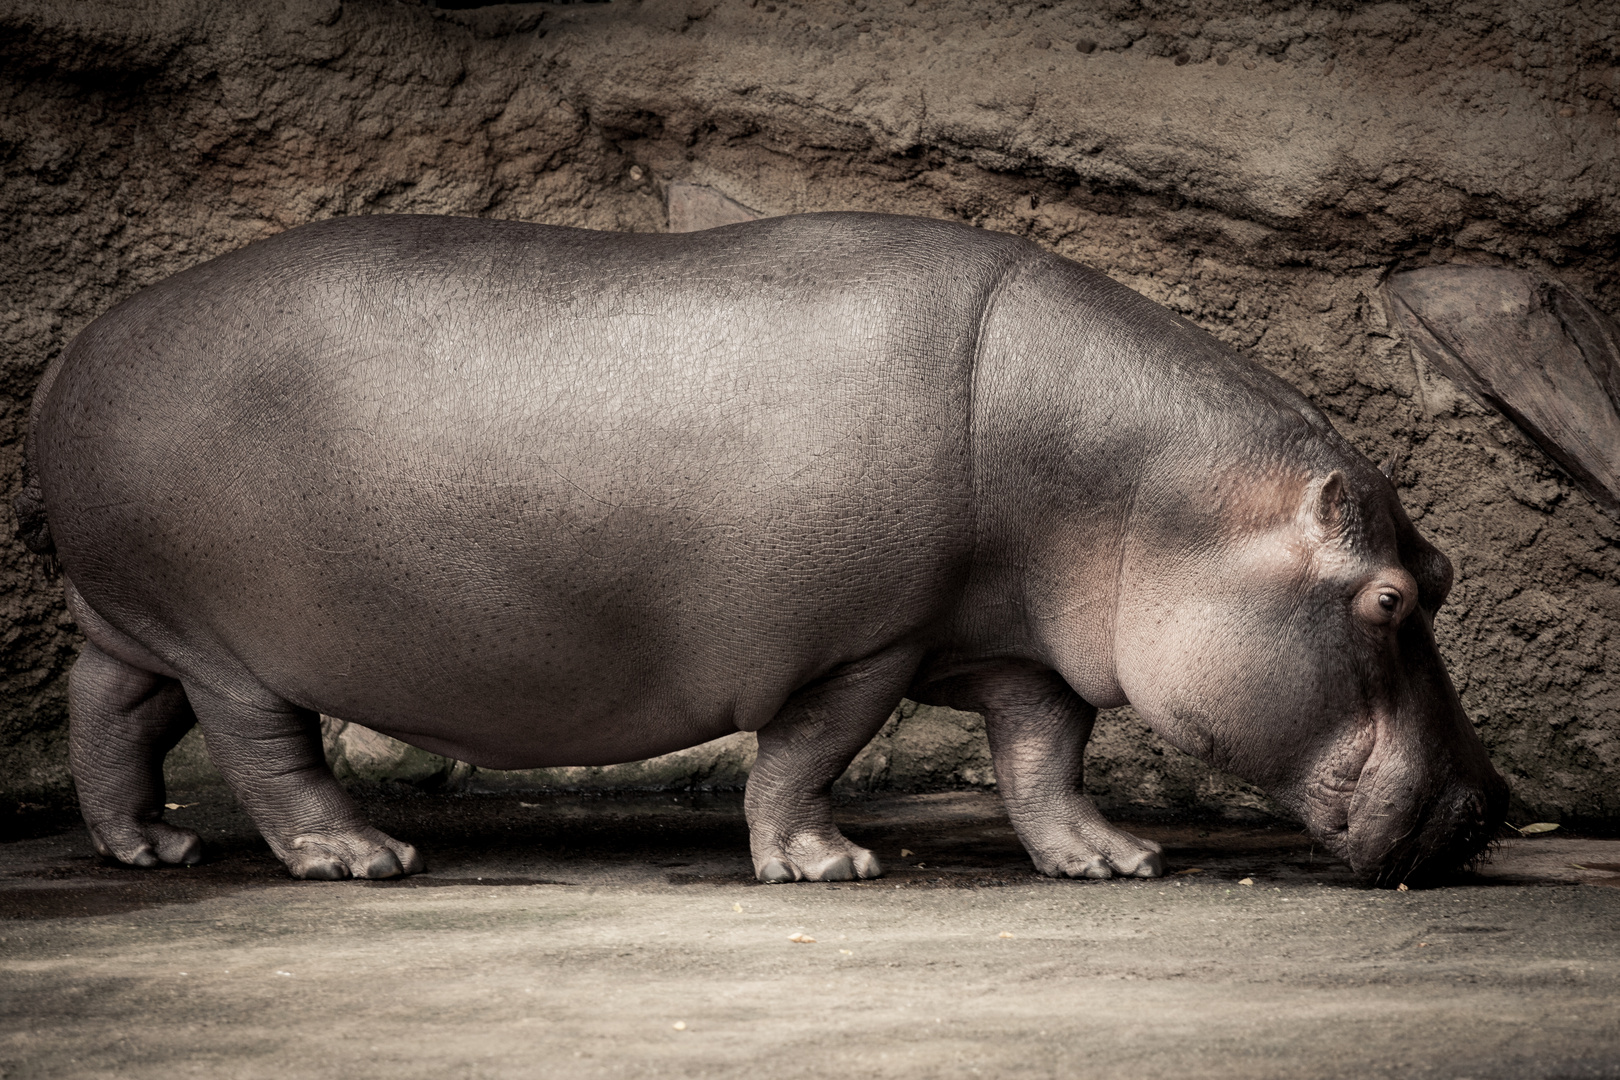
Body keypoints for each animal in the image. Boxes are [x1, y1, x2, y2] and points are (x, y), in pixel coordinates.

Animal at [16, 212, 1506, 886]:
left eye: (1441, 578)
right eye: (1391, 598)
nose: (1489, 808)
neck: (1151, 490)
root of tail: (79, 348)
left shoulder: (1015, 642)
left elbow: (1043, 753)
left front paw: (1108, 859)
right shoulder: (868, 641)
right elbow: (808, 751)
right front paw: (827, 867)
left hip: (136, 614)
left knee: (111, 706)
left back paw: (145, 847)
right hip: (227, 636)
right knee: (261, 745)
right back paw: (360, 857)